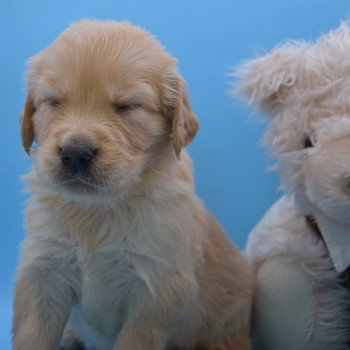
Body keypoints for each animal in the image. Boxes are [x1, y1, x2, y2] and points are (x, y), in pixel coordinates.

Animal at [13, 21, 253, 350]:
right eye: (53, 101)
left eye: (128, 106)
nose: (75, 153)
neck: (97, 210)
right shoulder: (44, 270)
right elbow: (31, 335)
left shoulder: (156, 289)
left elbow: (136, 339)